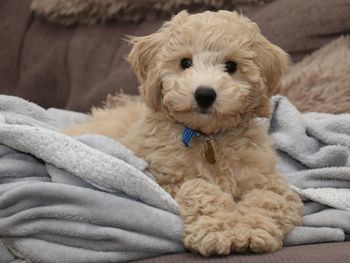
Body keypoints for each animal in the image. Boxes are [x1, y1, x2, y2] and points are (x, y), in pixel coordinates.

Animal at [66, 10, 304, 258]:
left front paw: (251, 229)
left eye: (231, 66)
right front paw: (215, 230)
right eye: (185, 62)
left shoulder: (265, 177)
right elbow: (200, 188)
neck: (208, 137)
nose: (205, 94)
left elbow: (268, 198)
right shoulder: (165, 179)